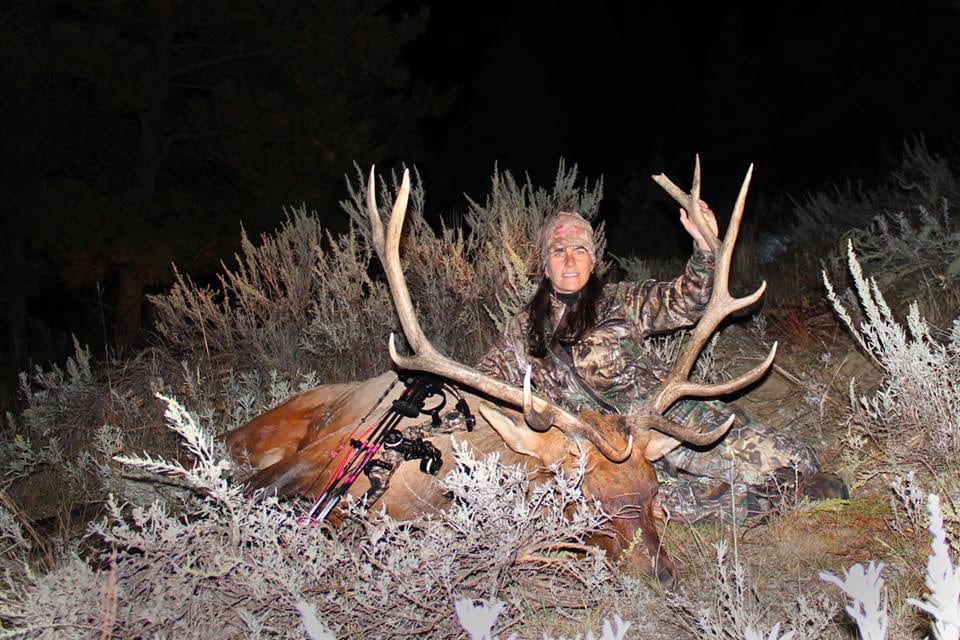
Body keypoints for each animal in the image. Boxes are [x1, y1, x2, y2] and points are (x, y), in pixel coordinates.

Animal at [226, 158, 775, 586]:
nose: (663, 575)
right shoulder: (317, 460)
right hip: (268, 429)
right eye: (584, 498)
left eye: (654, 493)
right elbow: (256, 495)